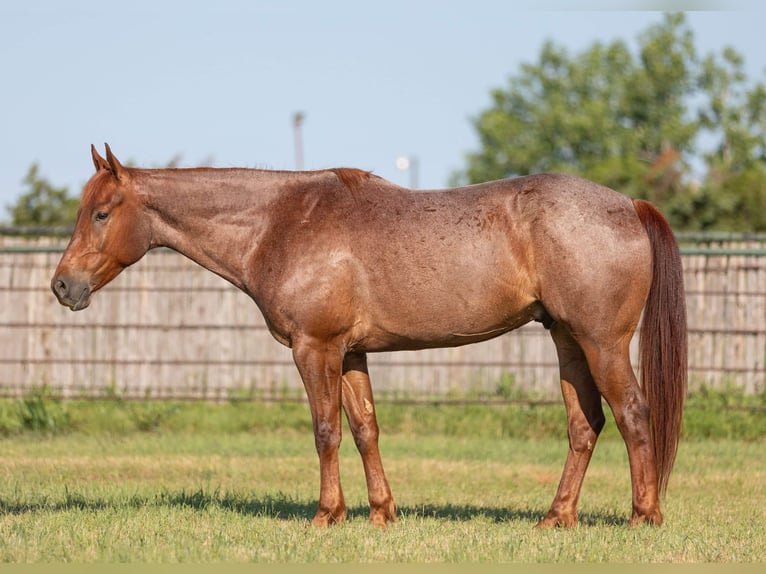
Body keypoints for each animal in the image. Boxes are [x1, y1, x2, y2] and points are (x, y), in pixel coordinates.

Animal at [54, 145, 688, 532]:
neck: (280, 222)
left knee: (633, 414)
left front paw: (325, 514)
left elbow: (326, 431)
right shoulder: (352, 352)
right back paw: (556, 518)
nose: (63, 285)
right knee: (586, 425)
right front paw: (382, 513)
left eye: (103, 213)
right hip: (567, 340)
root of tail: (627, 204)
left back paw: (643, 516)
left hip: (601, 342)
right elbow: (365, 430)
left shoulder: (316, 348)